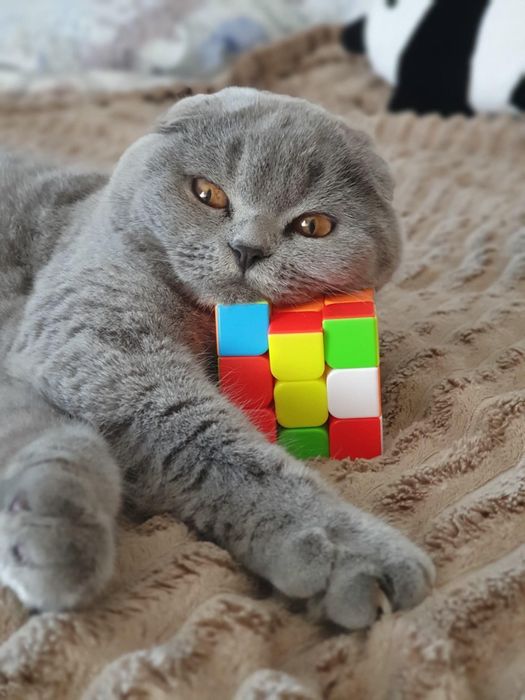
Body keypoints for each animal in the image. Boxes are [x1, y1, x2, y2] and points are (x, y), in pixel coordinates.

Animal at [0, 87, 434, 628]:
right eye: (209, 194)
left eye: (312, 225)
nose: (247, 248)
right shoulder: (94, 338)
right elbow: (207, 442)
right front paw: (352, 552)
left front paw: (47, 536)